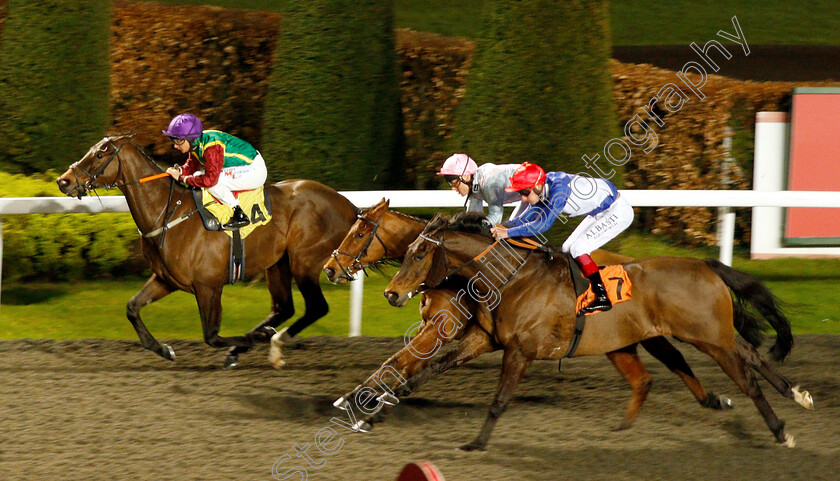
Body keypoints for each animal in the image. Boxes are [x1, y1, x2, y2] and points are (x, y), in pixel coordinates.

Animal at [55, 133, 358, 366]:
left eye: (99, 154)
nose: (63, 181)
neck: (168, 214)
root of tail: (348, 205)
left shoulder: (209, 286)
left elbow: (211, 336)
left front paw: (255, 338)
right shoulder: (165, 280)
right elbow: (132, 308)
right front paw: (164, 349)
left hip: (304, 261)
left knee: (316, 307)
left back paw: (273, 342)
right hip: (278, 263)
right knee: (283, 307)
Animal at [328, 197, 736, 430]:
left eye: (359, 233)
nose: (331, 270)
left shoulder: (443, 328)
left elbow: (399, 362)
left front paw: (360, 401)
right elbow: (402, 364)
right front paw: (359, 399)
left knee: (677, 357)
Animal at [382, 212, 812, 448]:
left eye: (420, 253)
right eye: (405, 252)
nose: (391, 293)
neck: (511, 277)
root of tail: (705, 265)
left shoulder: (519, 350)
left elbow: (499, 400)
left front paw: (476, 442)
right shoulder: (485, 338)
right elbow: (435, 366)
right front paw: (389, 399)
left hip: (707, 337)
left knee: (747, 379)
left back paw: (781, 430)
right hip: (681, 336)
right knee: (742, 356)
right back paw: (795, 395)